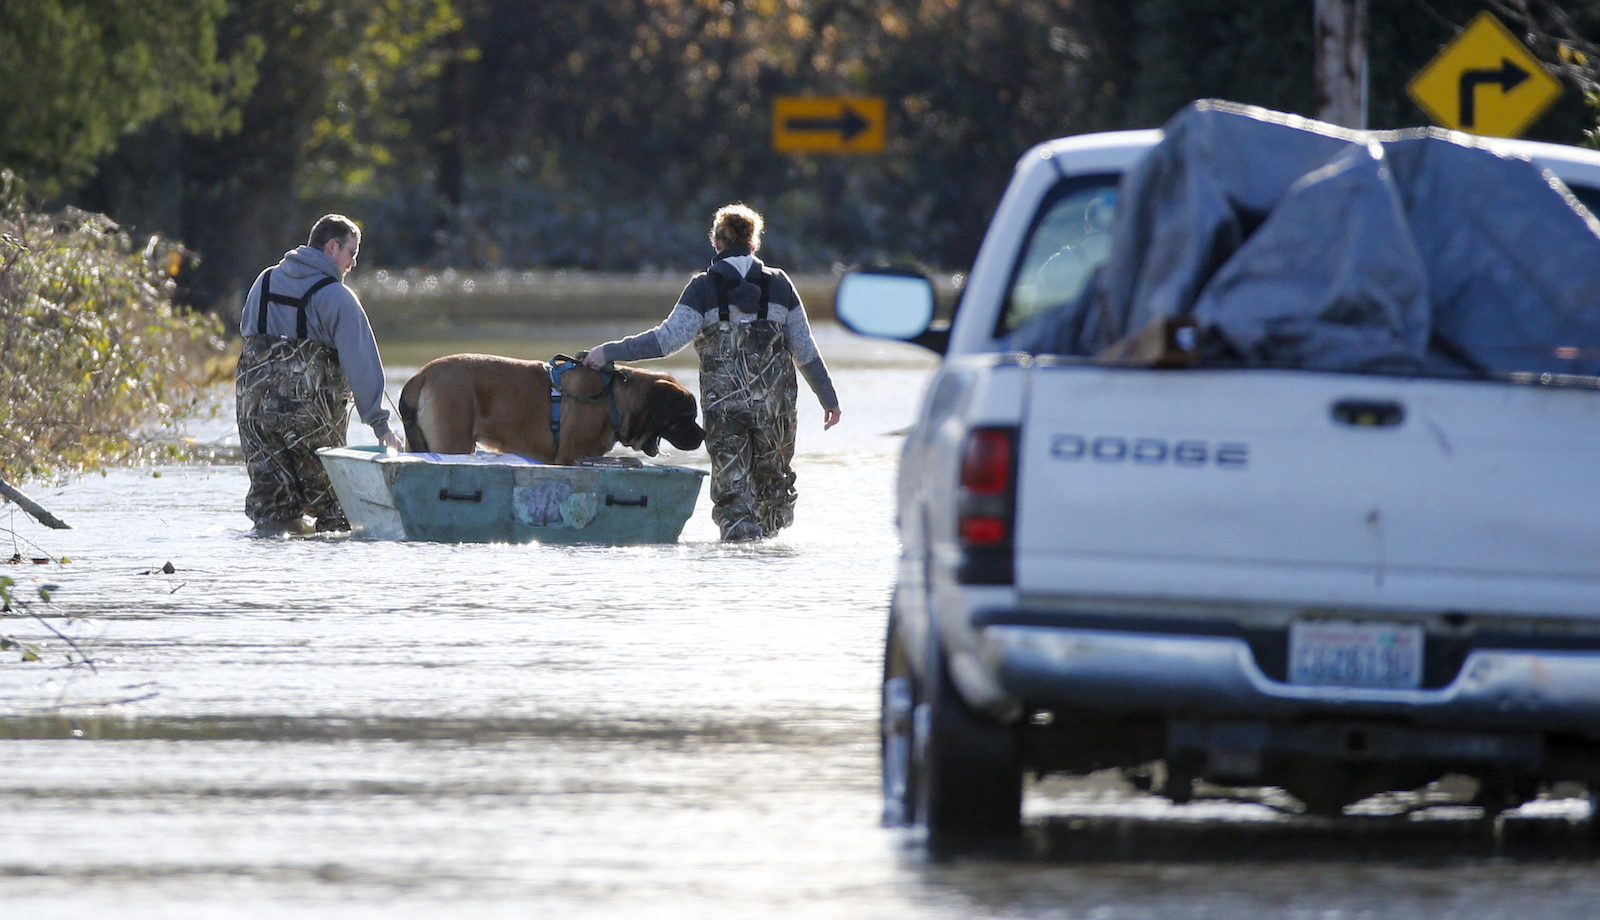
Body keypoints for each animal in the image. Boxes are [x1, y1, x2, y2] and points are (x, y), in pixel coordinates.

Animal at [396, 355, 704, 464]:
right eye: (686, 417)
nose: (702, 435)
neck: (615, 399)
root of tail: (421, 375)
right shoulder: (569, 458)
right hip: (452, 442)